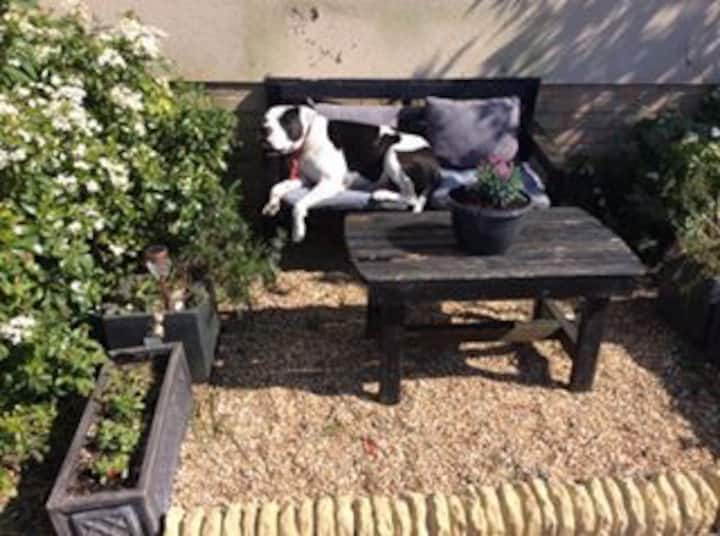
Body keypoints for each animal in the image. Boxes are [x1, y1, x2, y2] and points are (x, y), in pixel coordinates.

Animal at [261, 105, 441, 242]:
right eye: (265, 119)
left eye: (284, 121)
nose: (264, 129)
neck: (308, 138)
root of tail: (433, 158)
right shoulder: (304, 179)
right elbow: (276, 187)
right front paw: (272, 205)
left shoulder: (330, 183)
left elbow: (299, 204)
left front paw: (298, 231)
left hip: (392, 154)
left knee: (410, 197)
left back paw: (381, 194)